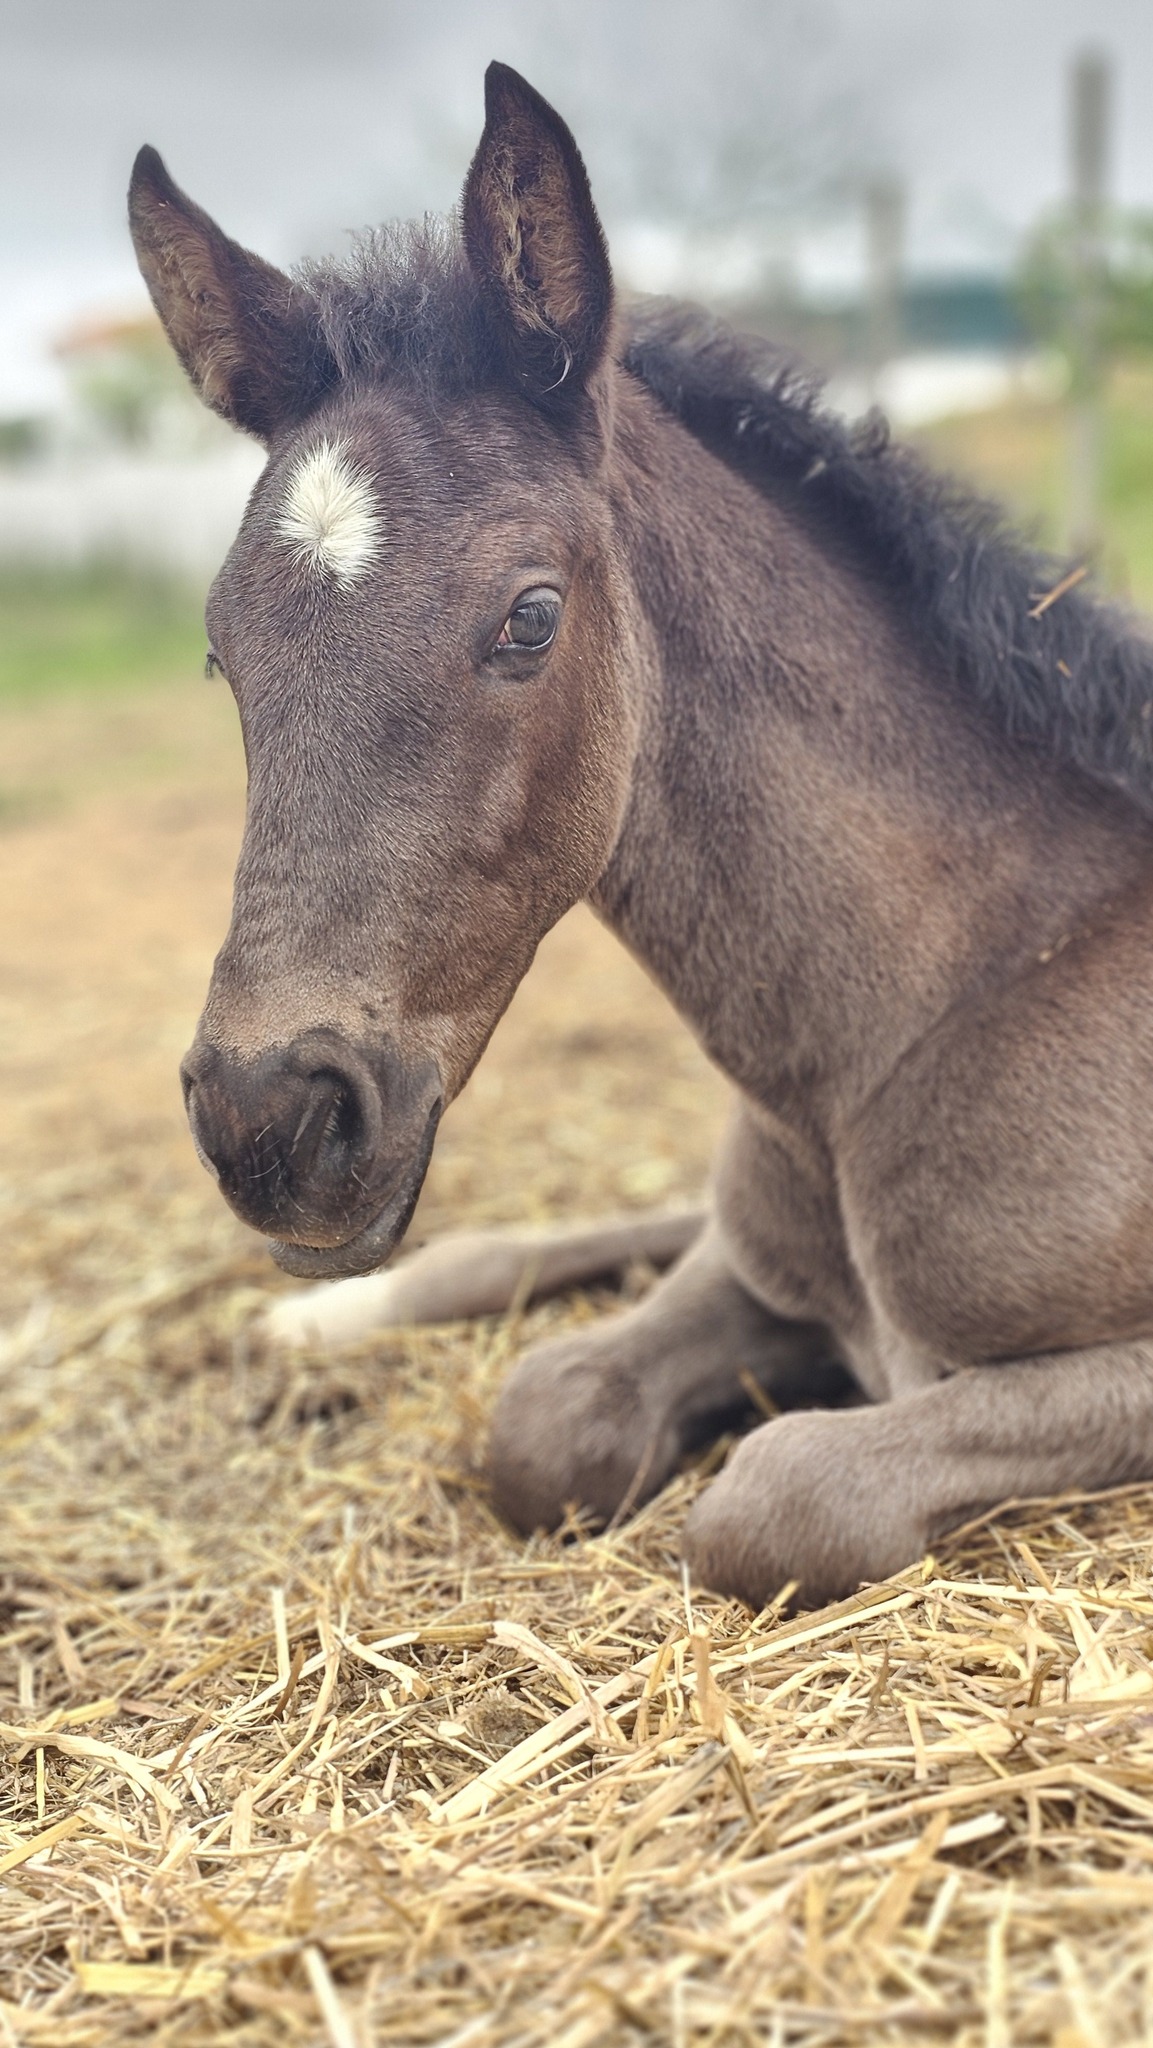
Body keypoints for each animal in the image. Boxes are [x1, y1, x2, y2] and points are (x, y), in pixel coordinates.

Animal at [130, 63, 1153, 1610]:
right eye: (217, 652)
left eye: (530, 616)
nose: (269, 1121)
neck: (950, 994)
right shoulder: (746, 1274)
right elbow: (544, 1419)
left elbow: (778, 1495)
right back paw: (319, 1323)